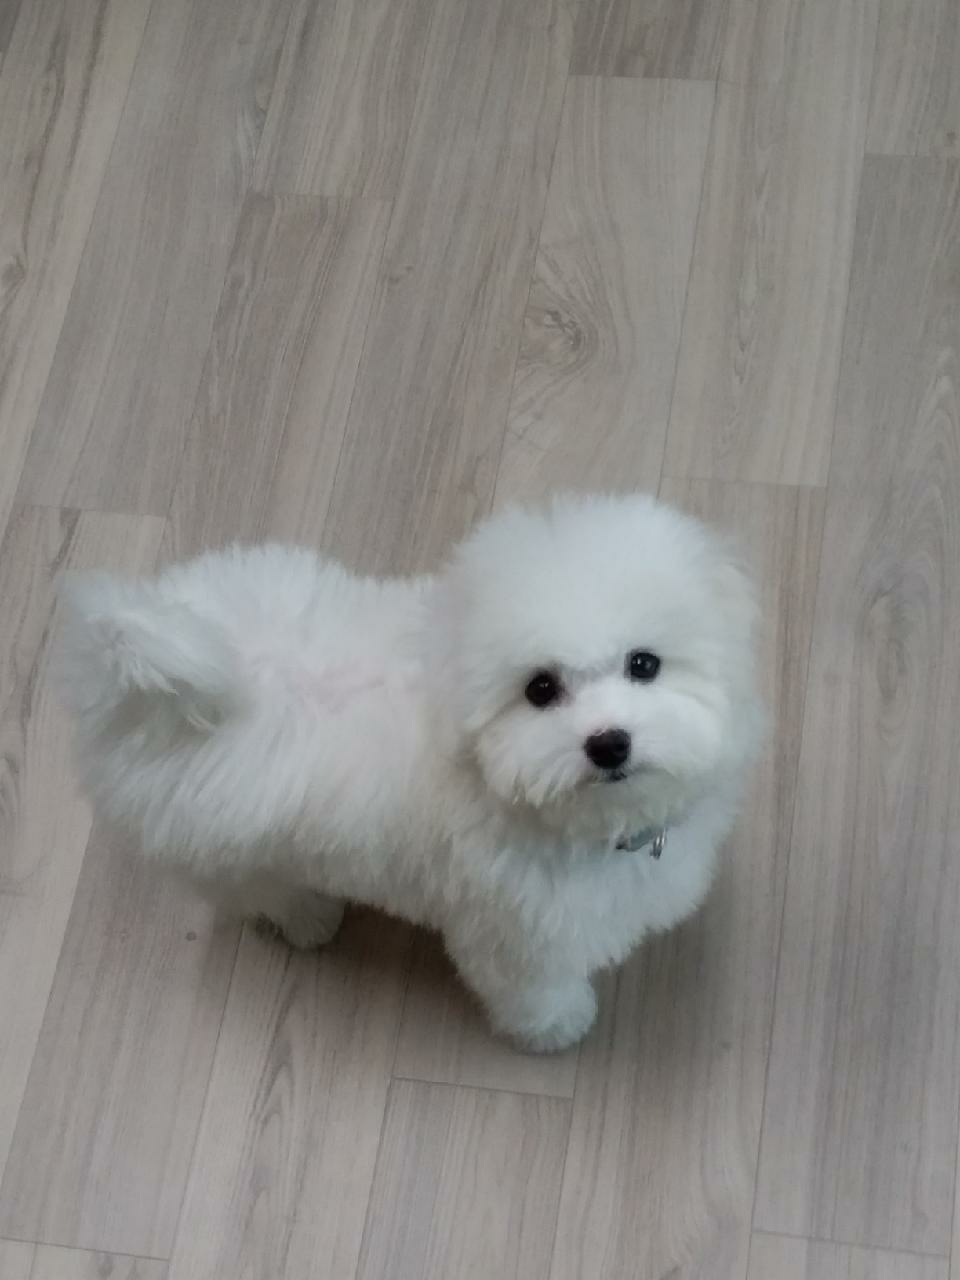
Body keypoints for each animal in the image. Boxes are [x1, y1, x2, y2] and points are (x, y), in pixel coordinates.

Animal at [57, 493, 761, 1051]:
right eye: (540, 689)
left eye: (644, 664)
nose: (609, 743)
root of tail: (130, 680)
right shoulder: (516, 932)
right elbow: (533, 989)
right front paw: (557, 1028)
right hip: (219, 847)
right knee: (258, 889)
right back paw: (310, 919)